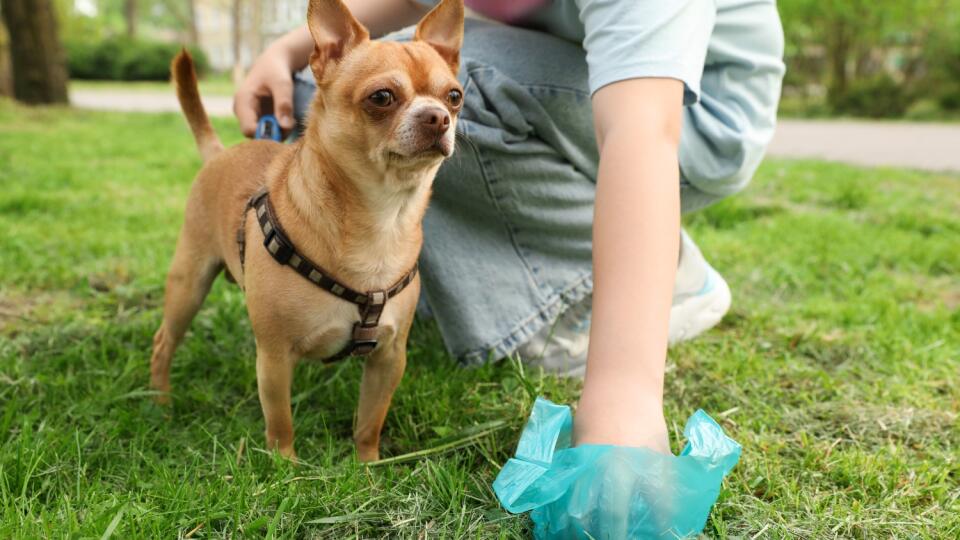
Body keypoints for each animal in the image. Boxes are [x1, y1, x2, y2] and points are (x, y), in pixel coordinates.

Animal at [151, 1, 464, 464]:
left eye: (454, 97)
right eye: (382, 97)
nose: (438, 117)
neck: (383, 217)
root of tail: (220, 153)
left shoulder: (389, 358)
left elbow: (370, 420)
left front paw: (368, 466)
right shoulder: (275, 358)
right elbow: (280, 421)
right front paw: (287, 467)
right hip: (188, 284)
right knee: (163, 342)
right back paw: (160, 404)